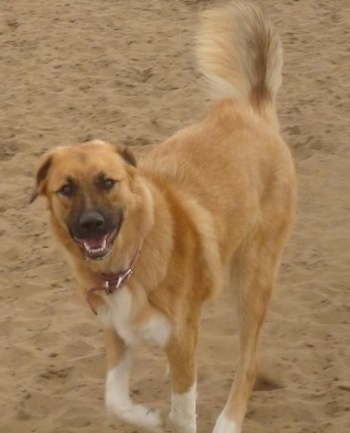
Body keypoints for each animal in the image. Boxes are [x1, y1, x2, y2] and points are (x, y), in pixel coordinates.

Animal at [31, 0, 296, 432]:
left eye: (108, 182)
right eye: (66, 189)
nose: (91, 225)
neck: (127, 266)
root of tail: (252, 109)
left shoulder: (180, 338)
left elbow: (185, 411)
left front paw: (169, 415)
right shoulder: (117, 333)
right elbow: (114, 400)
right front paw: (148, 416)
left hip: (254, 277)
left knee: (248, 361)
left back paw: (229, 419)